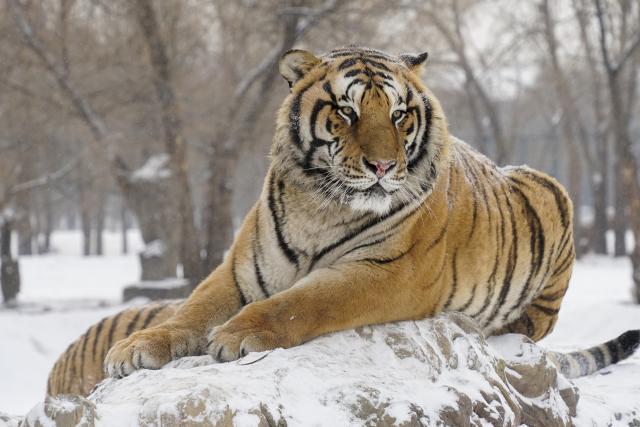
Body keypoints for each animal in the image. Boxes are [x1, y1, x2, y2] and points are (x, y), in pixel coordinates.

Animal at [48, 46, 640, 396]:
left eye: (399, 115)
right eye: (347, 111)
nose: (383, 166)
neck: (323, 203)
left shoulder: (388, 272)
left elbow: (300, 303)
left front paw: (237, 335)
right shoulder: (240, 268)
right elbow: (190, 309)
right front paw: (135, 347)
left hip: (553, 208)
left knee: (529, 328)